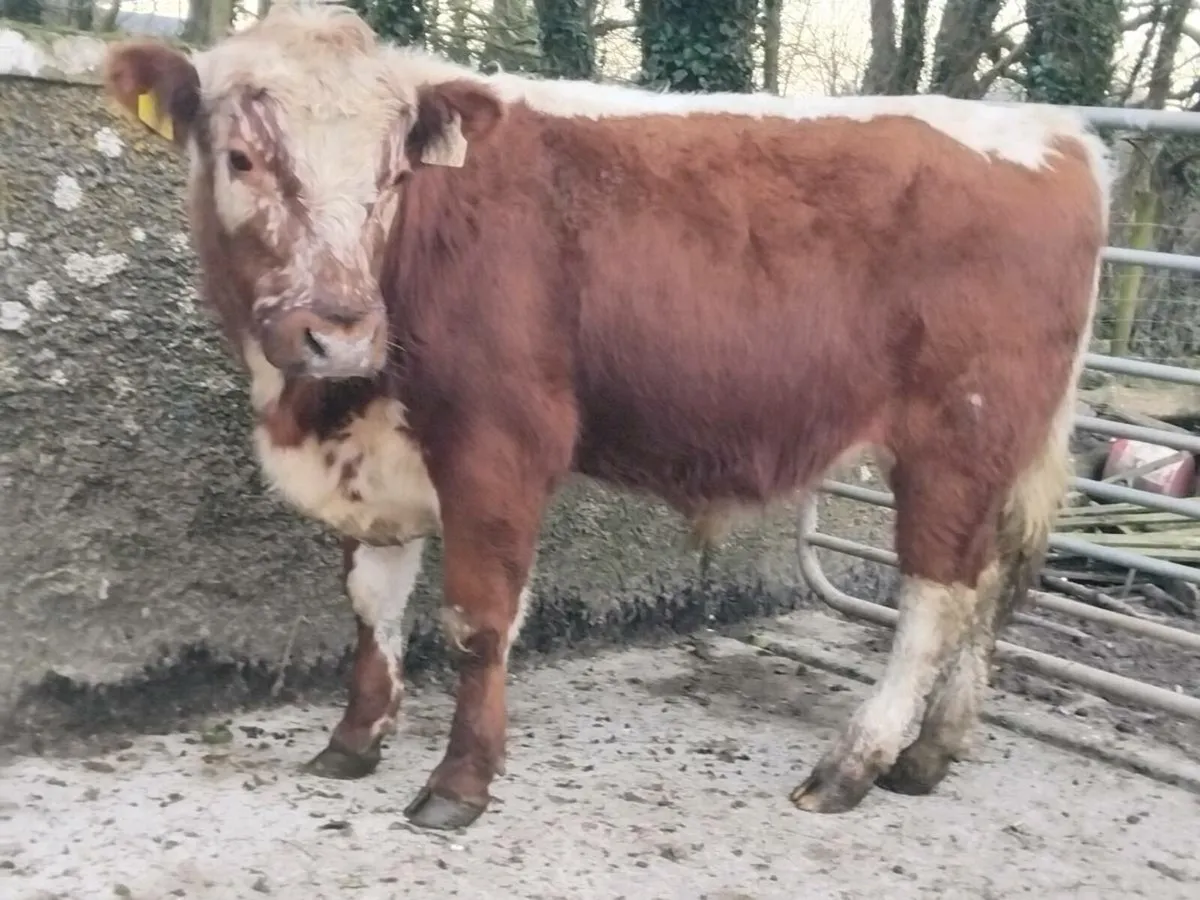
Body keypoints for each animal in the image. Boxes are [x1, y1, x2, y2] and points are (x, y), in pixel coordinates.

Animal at [102, 4, 1110, 831]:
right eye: (242, 158)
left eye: (392, 174)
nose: (340, 331)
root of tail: (1054, 132)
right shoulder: (374, 457)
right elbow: (370, 605)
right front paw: (354, 742)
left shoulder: (502, 442)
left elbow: (477, 620)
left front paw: (459, 785)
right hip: (997, 454)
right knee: (989, 584)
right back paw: (929, 757)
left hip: (956, 437)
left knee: (935, 601)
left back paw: (852, 766)